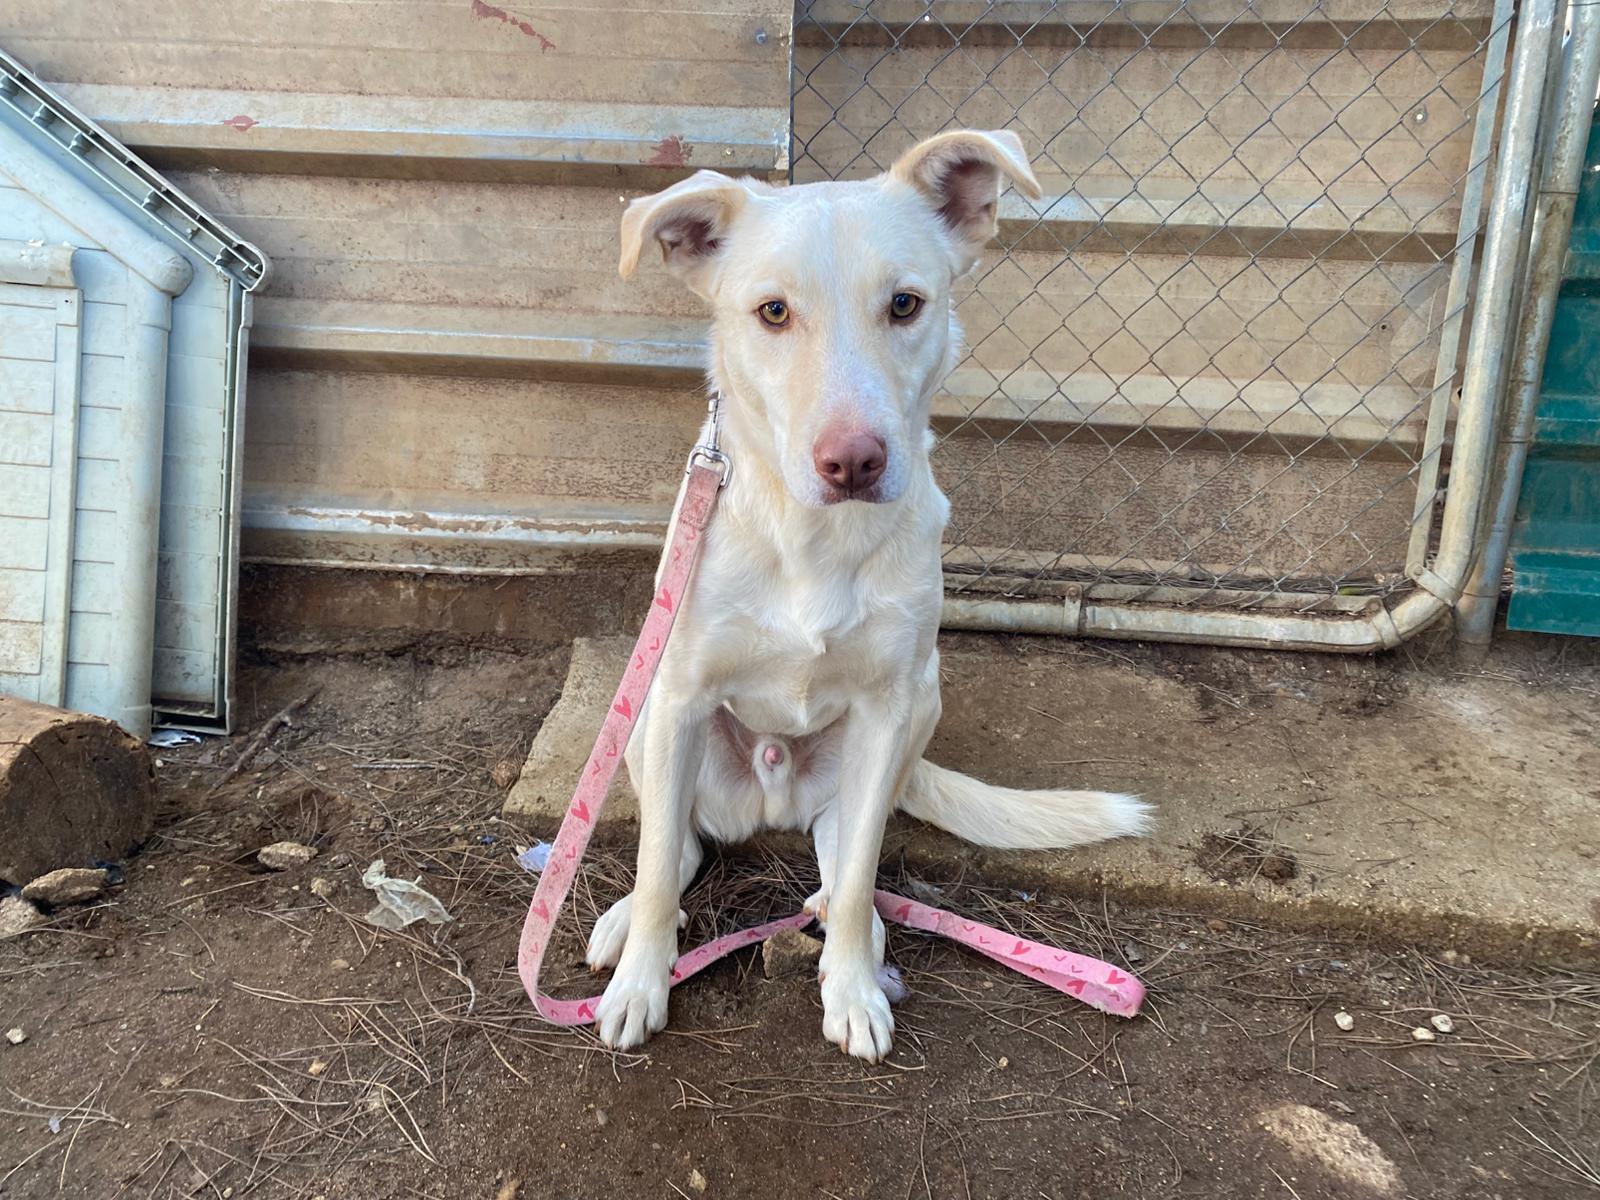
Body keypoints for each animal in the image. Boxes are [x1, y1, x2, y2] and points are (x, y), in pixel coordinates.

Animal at [586, 130, 1151, 1061]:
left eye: (905, 304)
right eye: (773, 313)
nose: (853, 460)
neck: (818, 539)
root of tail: (773, 799)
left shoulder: (888, 708)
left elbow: (855, 881)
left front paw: (851, 986)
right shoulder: (678, 694)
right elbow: (662, 857)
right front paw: (641, 978)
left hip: (916, 707)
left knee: (842, 850)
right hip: (644, 720)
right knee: (681, 847)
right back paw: (629, 920)